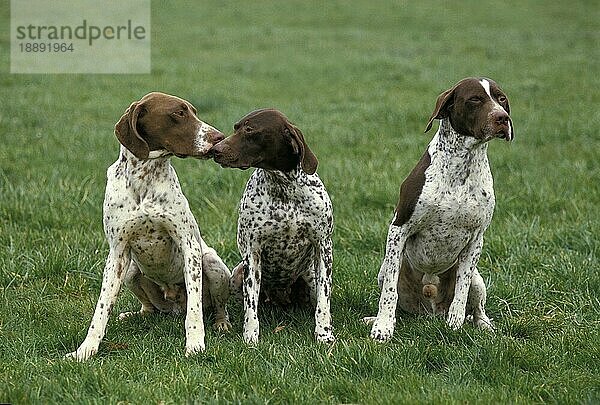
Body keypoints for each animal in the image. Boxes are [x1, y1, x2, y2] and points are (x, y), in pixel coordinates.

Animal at [66, 92, 232, 360]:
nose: (219, 137)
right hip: (131, 270)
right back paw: (134, 315)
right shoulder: (117, 254)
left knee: (216, 307)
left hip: (212, 264)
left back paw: (222, 323)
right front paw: (85, 350)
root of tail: (173, 305)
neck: (144, 177)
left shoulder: (190, 248)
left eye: (194, 112)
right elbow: (101, 309)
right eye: (178, 113)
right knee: (150, 309)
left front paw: (195, 344)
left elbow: (195, 310)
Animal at [211, 108, 336, 344]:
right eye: (236, 127)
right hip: (238, 274)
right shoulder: (253, 253)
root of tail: (280, 299)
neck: (283, 188)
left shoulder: (323, 248)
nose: (215, 150)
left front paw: (324, 333)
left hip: (310, 277)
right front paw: (250, 337)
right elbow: (250, 306)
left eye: (250, 130)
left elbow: (324, 302)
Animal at [368, 76, 512, 340]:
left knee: (477, 308)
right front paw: (382, 327)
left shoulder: (476, 239)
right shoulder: (399, 229)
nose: (502, 118)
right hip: (384, 271)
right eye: (475, 99)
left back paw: (483, 324)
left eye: (502, 99)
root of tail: (431, 310)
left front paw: (455, 323)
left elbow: (462, 291)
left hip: (478, 279)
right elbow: (389, 293)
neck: (463, 164)